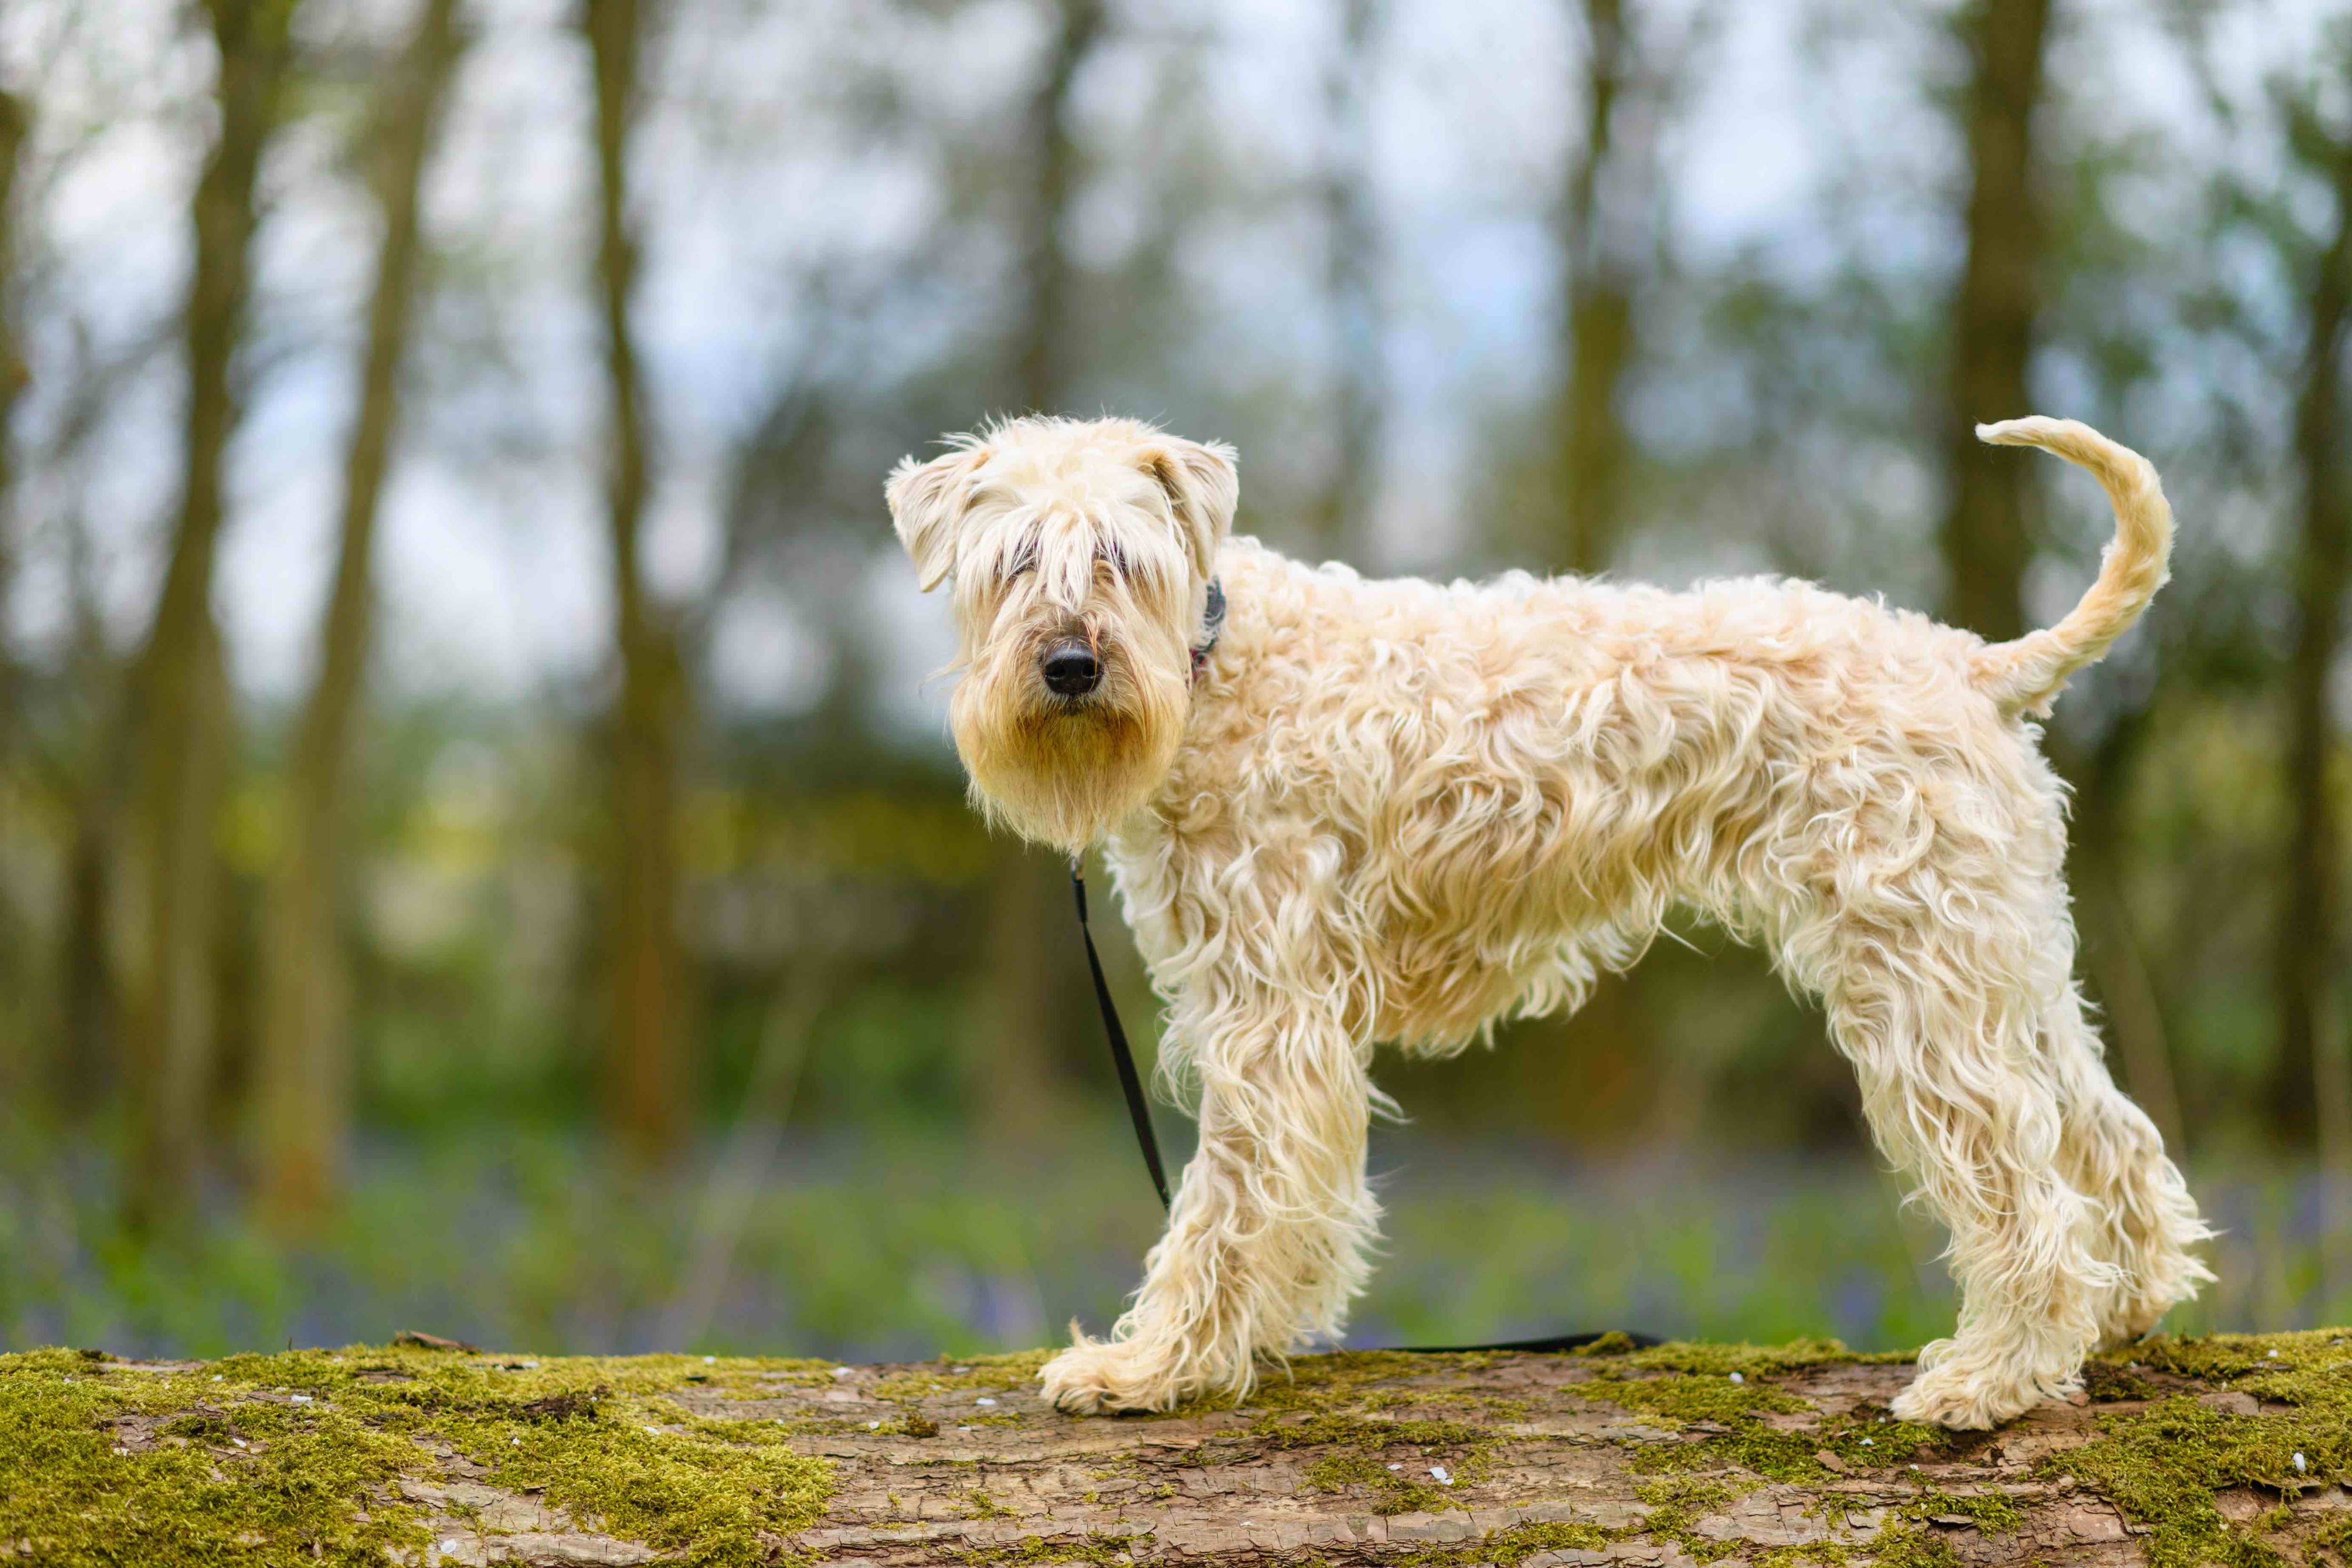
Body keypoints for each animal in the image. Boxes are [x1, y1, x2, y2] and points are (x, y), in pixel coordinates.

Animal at [884, 413, 2201, 1439]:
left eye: (1122, 557)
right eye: (1012, 561)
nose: (1067, 666)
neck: (1218, 667)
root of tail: (1976, 666)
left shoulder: (1266, 1008)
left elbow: (1221, 1199)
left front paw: (1154, 1365)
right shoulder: (1272, 1007)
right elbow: (1284, 1196)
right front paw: (1257, 1336)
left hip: (1921, 986)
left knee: (2025, 1191)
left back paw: (1990, 1380)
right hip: (1998, 962)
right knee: (2106, 1135)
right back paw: (2120, 1307)